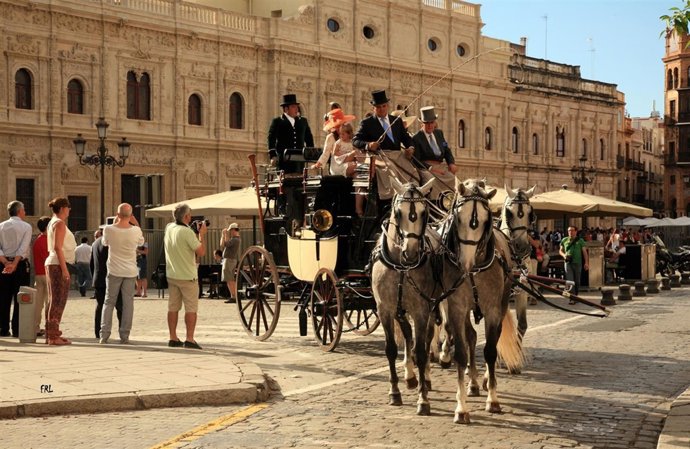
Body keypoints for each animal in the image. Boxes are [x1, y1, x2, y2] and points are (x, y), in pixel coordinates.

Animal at [371, 177, 436, 415]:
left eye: (425, 212)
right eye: (399, 213)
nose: (412, 252)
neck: (401, 266)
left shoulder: (421, 310)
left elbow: (422, 351)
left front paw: (423, 400)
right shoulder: (385, 309)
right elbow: (391, 349)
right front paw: (394, 392)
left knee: (427, 338)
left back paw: (425, 378)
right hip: (400, 310)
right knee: (408, 335)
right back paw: (410, 376)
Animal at [441, 178, 525, 424]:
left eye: (486, 220)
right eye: (458, 217)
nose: (465, 264)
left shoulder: (492, 310)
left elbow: (490, 350)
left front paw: (493, 399)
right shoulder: (457, 308)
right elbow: (461, 352)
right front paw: (461, 407)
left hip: (502, 303)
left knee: (491, 341)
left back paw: (485, 380)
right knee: (469, 336)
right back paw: (473, 382)